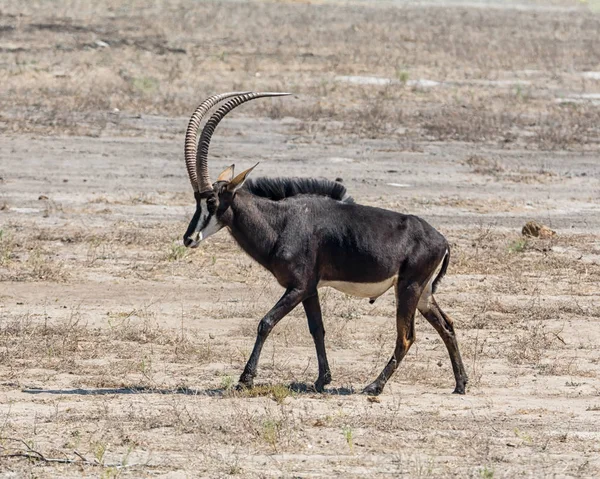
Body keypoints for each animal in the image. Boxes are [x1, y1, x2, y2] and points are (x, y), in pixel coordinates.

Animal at [183, 92, 468, 396]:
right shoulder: (310, 290)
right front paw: (322, 380)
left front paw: (245, 380)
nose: (189, 239)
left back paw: (374, 386)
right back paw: (460, 384)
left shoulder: (298, 286)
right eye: (197, 199)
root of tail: (441, 240)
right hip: (423, 293)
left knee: (406, 337)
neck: (281, 221)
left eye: (212, 201)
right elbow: (317, 329)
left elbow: (265, 322)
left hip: (408, 289)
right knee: (446, 325)